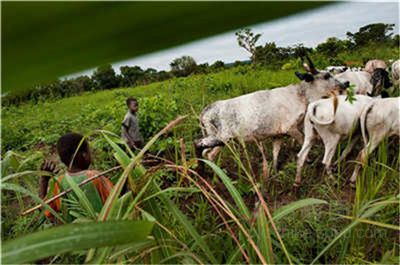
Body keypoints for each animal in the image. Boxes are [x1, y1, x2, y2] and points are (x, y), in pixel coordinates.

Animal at [195, 55, 348, 169]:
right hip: (221, 137)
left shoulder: (278, 134)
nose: (345, 83)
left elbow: (275, 153)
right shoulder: (291, 128)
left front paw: (273, 171)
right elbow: (303, 142)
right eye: (327, 75)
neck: (301, 96)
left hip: (221, 140)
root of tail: (206, 110)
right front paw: (309, 160)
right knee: (208, 154)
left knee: (206, 153)